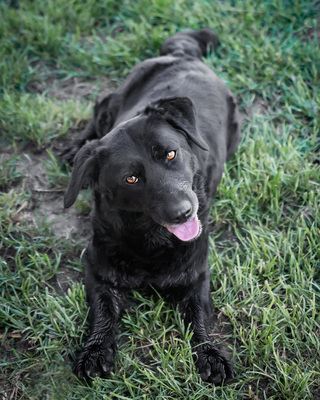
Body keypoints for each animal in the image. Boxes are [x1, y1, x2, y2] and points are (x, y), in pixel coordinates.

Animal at [63, 28, 240, 384]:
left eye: (171, 154)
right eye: (131, 178)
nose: (183, 213)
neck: (150, 241)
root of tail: (185, 55)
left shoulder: (196, 277)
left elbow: (201, 320)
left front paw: (211, 355)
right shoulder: (98, 271)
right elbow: (101, 312)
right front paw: (95, 350)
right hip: (111, 103)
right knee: (93, 124)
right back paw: (74, 149)